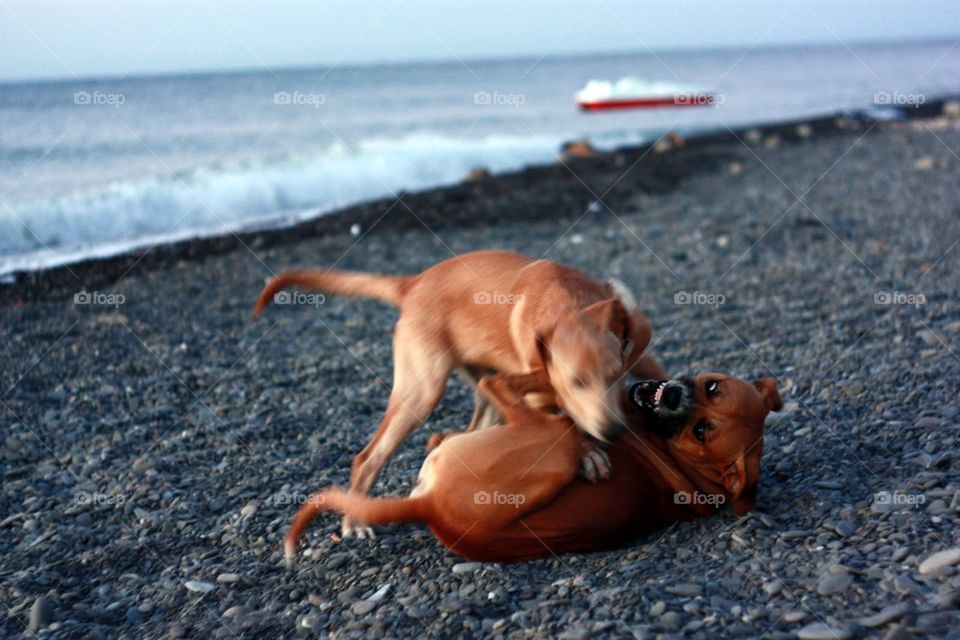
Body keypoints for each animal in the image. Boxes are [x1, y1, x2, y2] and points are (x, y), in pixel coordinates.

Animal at [251, 250, 664, 536]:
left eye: (614, 376)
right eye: (575, 382)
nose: (614, 432)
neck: (568, 302)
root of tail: (415, 282)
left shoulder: (639, 356)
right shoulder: (540, 394)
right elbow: (567, 422)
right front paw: (589, 452)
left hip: (477, 388)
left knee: (461, 434)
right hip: (422, 391)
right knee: (368, 457)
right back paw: (354, 519)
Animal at [284, 368, 780, 564]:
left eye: (702, 431)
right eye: (713, 386)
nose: (673, 395)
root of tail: (432, 507)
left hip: (551, 449)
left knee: (497, 384)